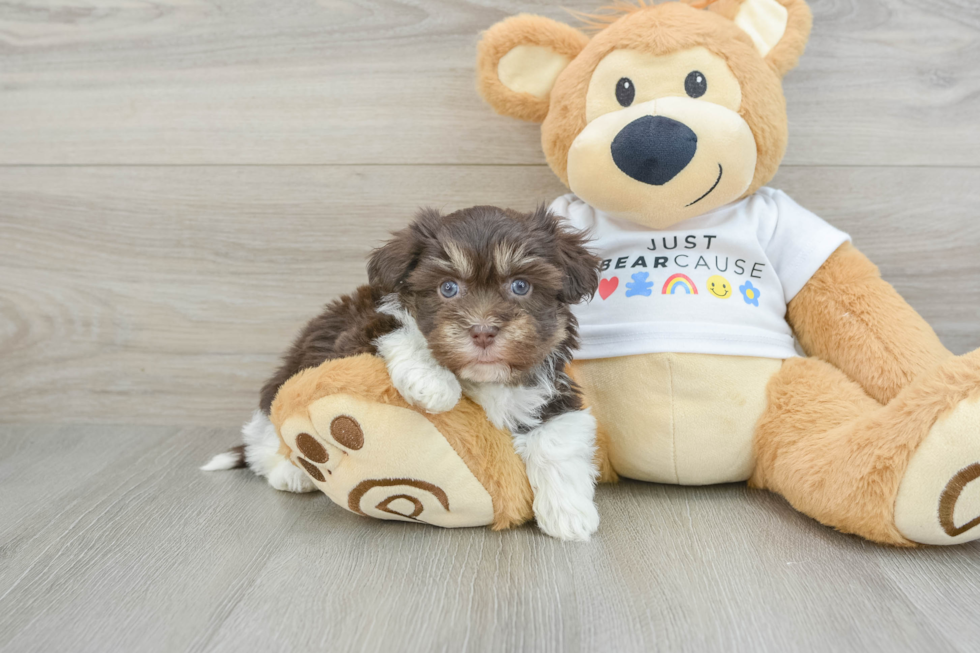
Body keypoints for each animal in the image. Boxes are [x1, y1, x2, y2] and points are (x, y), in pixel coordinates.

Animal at [205, 205, 604, 540]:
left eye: (520, 285)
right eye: (448, 288)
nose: (482, 331)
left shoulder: (550, 390)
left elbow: (557, 440)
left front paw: (569, 514)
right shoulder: (356, 333)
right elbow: (400, 325)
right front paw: (433, 384)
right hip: (285, 381)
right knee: (264, 437)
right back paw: (290, 472)